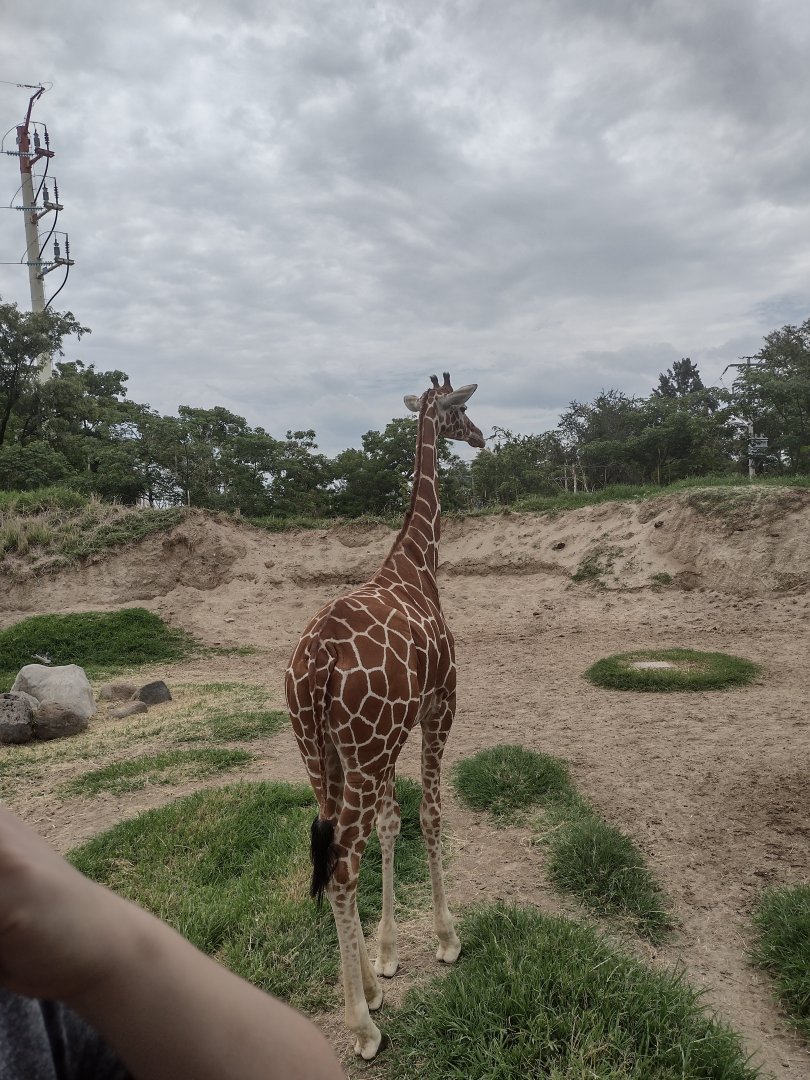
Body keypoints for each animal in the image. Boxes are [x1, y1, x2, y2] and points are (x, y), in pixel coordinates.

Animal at [285, 373, 484, 1059]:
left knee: (332, 854)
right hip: (365, 750)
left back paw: (366, 995)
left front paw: (387, 956)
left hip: (324, 753)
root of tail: (316, 661)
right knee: (344, 864)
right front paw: (447, 940)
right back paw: (363, 1027)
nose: (482, 438)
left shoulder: (391, 736)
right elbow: (429, 816)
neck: (417, 565)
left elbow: (393, 826)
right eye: (461, 413)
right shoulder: (439, 708)